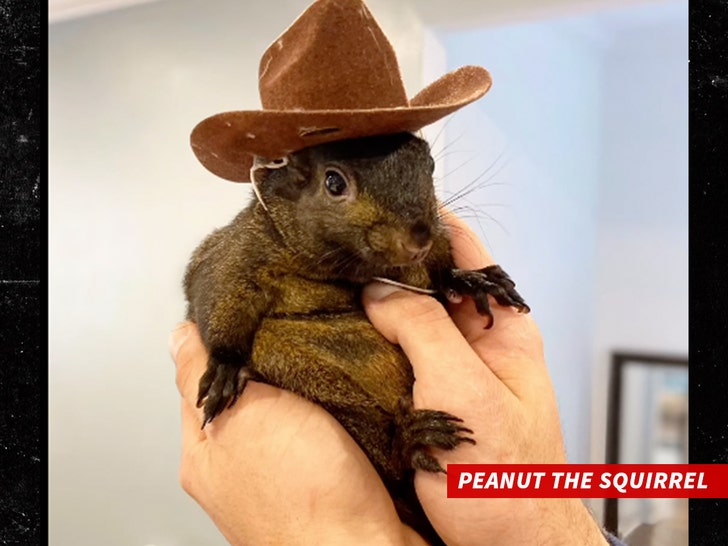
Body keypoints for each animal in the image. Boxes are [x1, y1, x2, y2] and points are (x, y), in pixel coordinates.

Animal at [183, 131, 529, 545]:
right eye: (333, 183)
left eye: (429, 165)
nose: (419, 238)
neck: (349, 268)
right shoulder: (236, 253)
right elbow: (218, 291)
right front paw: (225, 366)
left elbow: (440, 273)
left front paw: (472, 280)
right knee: (391, 465)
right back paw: (408, 441)